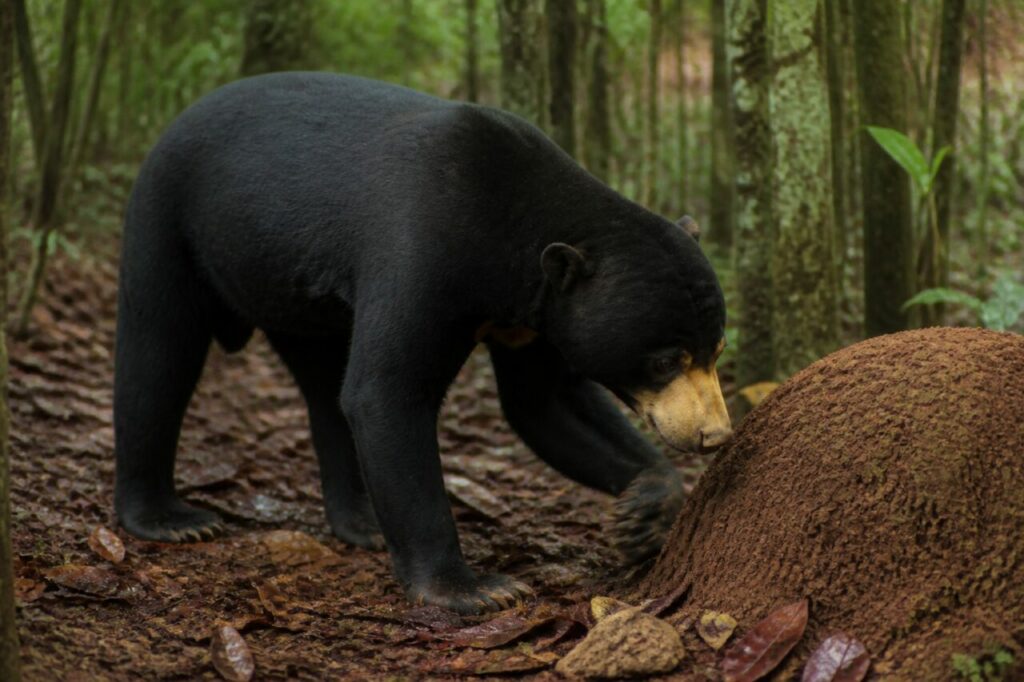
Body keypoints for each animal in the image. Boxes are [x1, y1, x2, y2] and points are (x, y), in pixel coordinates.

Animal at [114, 72, 732, 614]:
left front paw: (644, 512)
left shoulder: (535, 316)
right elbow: (387, 393)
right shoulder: (422, 249)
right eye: (664, 360)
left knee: (324, 390)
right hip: (171, 219)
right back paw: (170, 519)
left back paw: (361, 522)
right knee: (158, 354)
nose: (714, 435)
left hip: (298, 298)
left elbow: (545, 402)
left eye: (716, 351)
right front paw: (474, 589)